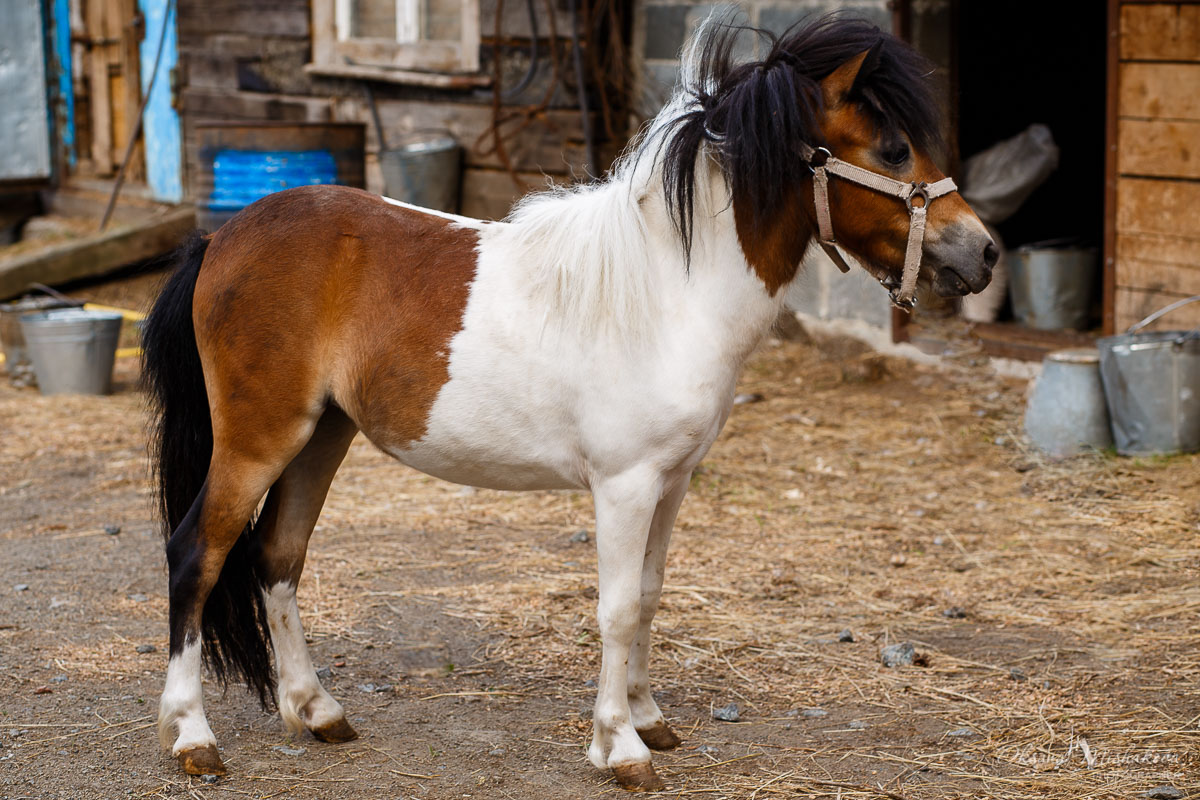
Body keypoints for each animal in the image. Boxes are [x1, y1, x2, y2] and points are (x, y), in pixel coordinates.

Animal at [145, 15, 998, 791]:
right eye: (893, 149)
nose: (983, 251)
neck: (669, 291)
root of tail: (219, 242)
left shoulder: (673, 482)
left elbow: (649, 596)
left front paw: (650, 717)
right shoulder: (624, 485)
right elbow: (616, 608)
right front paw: (620, 746)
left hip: (321, 436)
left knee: (277, 557)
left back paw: (317, 711)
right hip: (259, 441)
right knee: (197, 553)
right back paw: (192, 737)